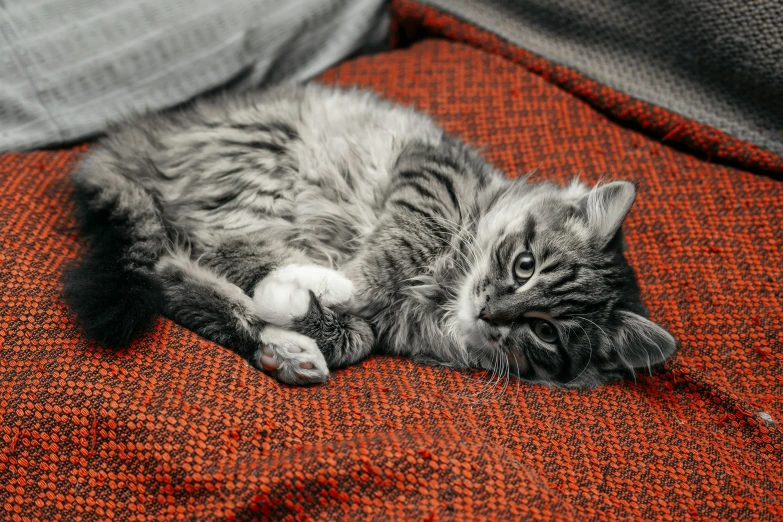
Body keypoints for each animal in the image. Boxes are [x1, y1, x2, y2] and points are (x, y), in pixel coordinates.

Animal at [61, 83, 676, 386]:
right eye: (524, 265)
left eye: (545, 331)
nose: (490, 312)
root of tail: (143, 136)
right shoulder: (432, 177)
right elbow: (389, 256)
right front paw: (334, 287)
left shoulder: (390, 332)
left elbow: (355, 337)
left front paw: (301, 320)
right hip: (261, 162)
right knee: (216, 252)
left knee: (175, 271)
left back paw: (288, 348)